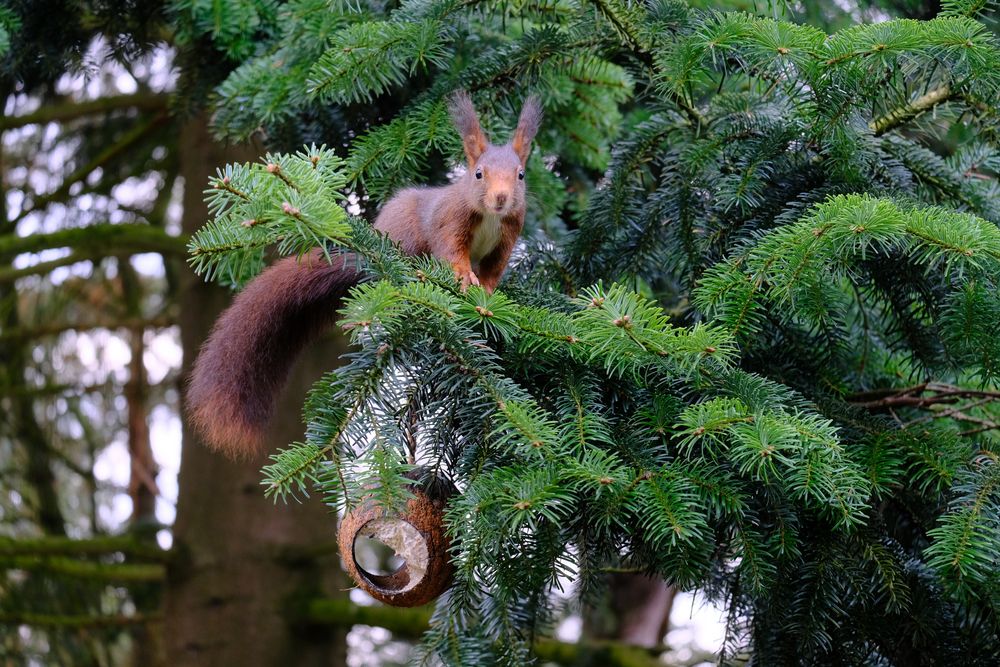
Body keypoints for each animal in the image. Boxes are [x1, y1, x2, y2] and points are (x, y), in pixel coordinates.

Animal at [190, 92, 544, 460]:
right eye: (478, 174)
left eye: (520, 175)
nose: (501, 198)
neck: (491, 216)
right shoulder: (450, 221)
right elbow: (450, 251)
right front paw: (463, 278)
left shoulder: (506, 239)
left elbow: (494, 270)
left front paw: (488, 293)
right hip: (405, 240)